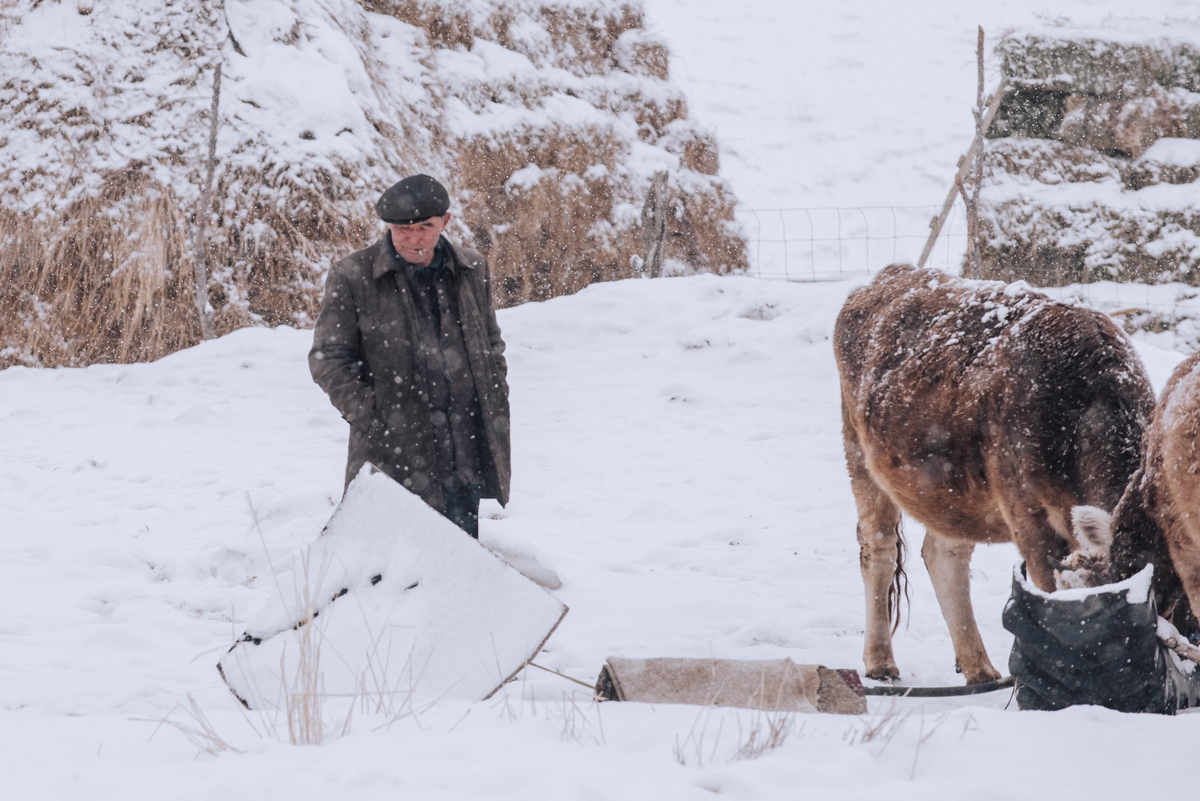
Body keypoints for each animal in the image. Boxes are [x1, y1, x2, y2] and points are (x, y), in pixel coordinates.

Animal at [835, 262, 1152, 681]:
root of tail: (887, 275)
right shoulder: (1027, 515)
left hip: (952, 488)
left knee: (944, 553)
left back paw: (979, 668)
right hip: (860, 455)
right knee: (879, 549)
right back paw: (880, 662)